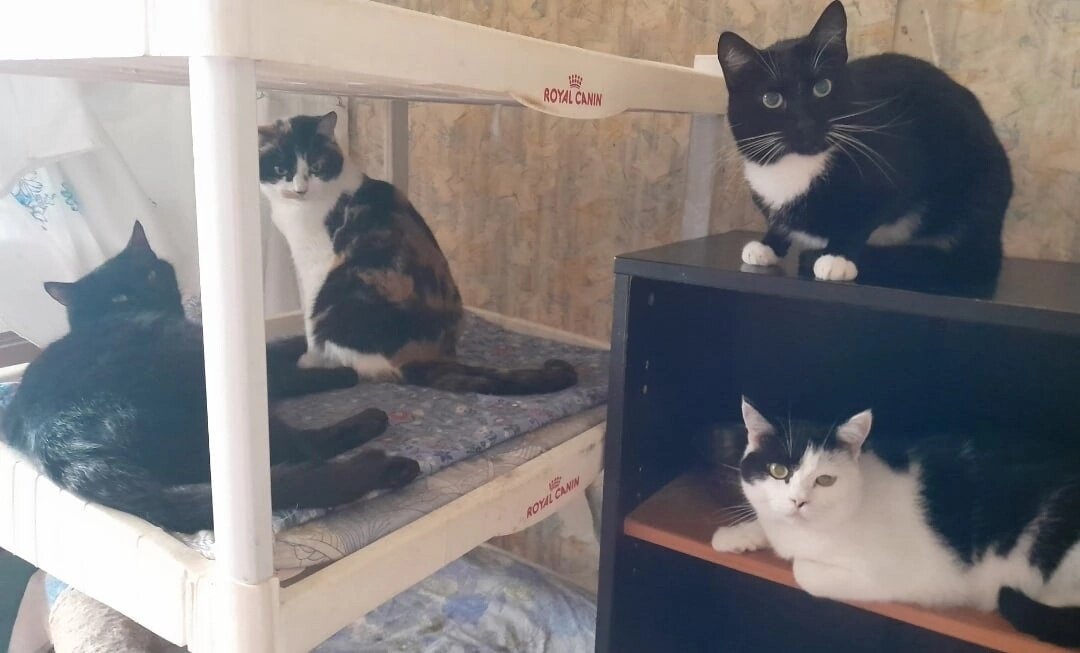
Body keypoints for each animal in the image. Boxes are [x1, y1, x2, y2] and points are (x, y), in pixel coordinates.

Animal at [0, 222, 420, 533]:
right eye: (118, 297)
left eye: (150, 272)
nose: (147, 292)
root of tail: (62, 447)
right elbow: (279, 370)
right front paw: (337, 370)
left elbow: (276, 346)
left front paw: (308, 338)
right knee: (300, 449)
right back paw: (380, 441)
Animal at [257, 112, 578, 395]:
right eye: (281, 169)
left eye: (316, 165)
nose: (300, 189)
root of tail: (423, 357)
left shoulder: (315, 263)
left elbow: (308, 319)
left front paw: (310, 359)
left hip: (339, 293)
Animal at [708, 398, 1080, 647]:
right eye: (778, 471)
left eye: (825, 480)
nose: (799, 501)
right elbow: (767, 522)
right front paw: (734, 535)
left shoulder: (904, 576)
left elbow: (803, 569)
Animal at [716, 1, 1011, 294]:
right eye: (771, 99)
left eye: (822, 87)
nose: (806, 123)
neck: (797, 167)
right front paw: (767, 245)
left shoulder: (897, 163)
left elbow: (864, 217)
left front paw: (837, 257)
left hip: (977, 190)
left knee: (969, 261)